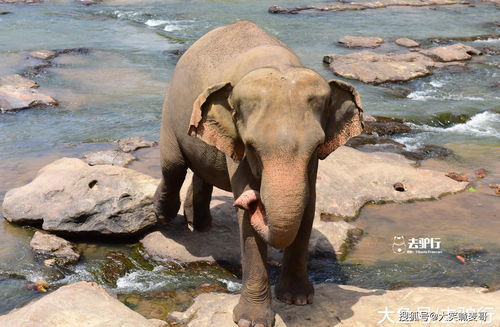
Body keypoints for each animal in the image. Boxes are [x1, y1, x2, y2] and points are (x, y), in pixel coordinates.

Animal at [154, 20, 362, 327]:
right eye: (252, 147)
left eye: (316, 147)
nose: (253, 199)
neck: (276, 64)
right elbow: (247, 224)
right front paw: (251, 321)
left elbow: (308, 203)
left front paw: (297, 300)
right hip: (171, 112)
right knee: (173, 166)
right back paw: (162, 217)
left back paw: (199, 224)